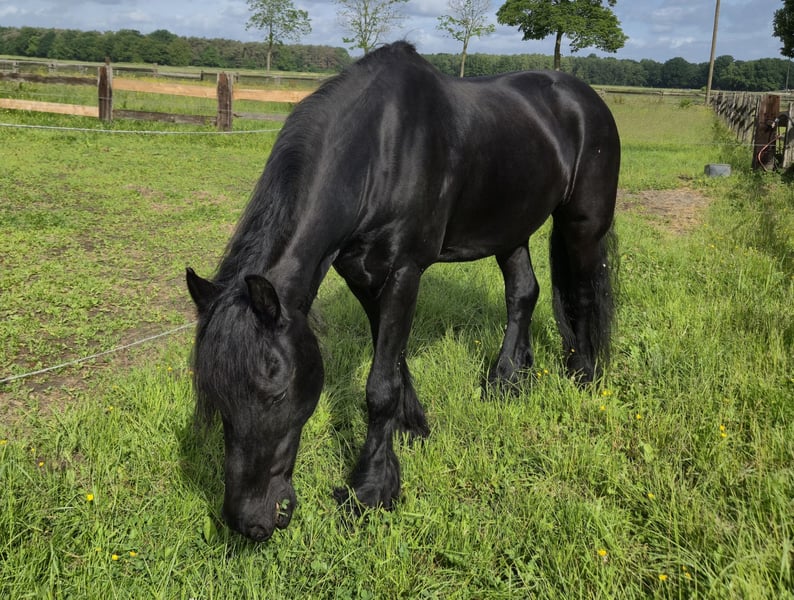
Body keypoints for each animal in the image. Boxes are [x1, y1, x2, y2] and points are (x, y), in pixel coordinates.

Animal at [186, 41, 620, 542]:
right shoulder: (363, 276)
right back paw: (508, 379)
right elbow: (393, 359)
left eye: (274, 395)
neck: (380, 149)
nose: (250, 522)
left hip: (582, 225)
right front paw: (412, 428)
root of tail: (585, 97)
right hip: (511, 228)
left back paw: (583, 375)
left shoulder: (404, 271)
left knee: (582, 293)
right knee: (523, 293)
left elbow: (379, 384)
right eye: (216, 397)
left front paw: (371, 489)